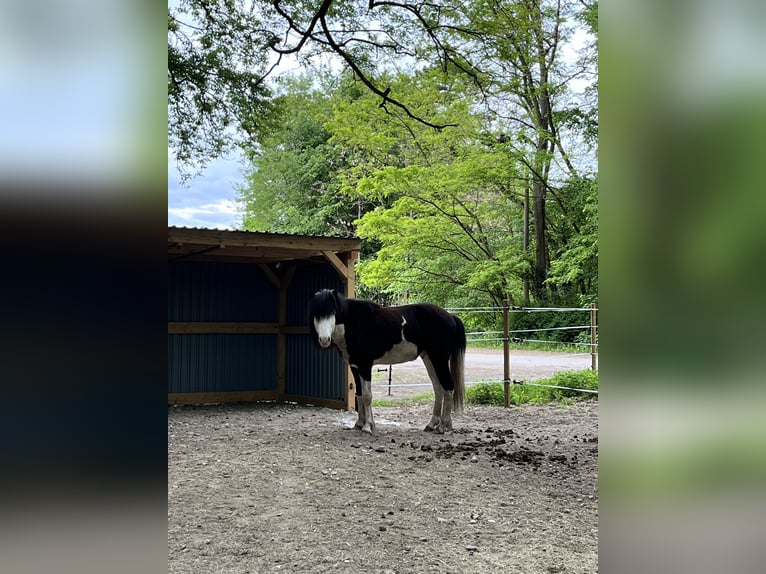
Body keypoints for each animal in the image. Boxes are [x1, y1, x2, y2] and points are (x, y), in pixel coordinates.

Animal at [308, 290, 468, 434]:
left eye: (333, 312)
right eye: (316, 314)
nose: (324, 340)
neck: (354, 323)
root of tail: (450, 316)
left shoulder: (365, 366)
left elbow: (367, 396)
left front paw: (368, 427)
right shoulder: (355, 367)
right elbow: (359, 395)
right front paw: (359, 424)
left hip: (439, 359)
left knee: (448, 387)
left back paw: (443, 426)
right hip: (429, 358)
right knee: (438, 388)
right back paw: (432, 424)